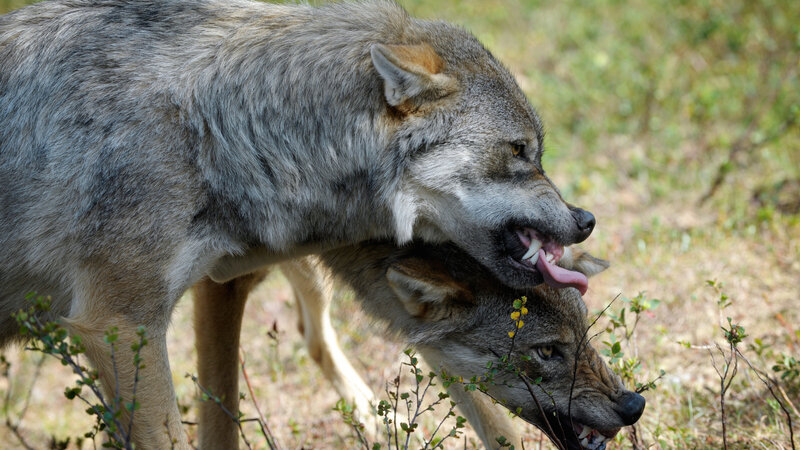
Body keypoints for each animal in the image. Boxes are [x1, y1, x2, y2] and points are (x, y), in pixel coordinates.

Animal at [0, 0, 596, 446]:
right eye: (519, 151)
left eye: (536, 151)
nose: (585, 220)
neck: (223, 123)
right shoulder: (120, 325)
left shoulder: (224, 281)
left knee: (314, 334)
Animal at [193, 245, 645, 450]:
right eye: (548, 352)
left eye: (586, 333)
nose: (634, 406)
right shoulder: (217, 282)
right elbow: (217, 417)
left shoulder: (424, 333)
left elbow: (499, 430)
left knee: (312, 335)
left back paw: (374, 418)